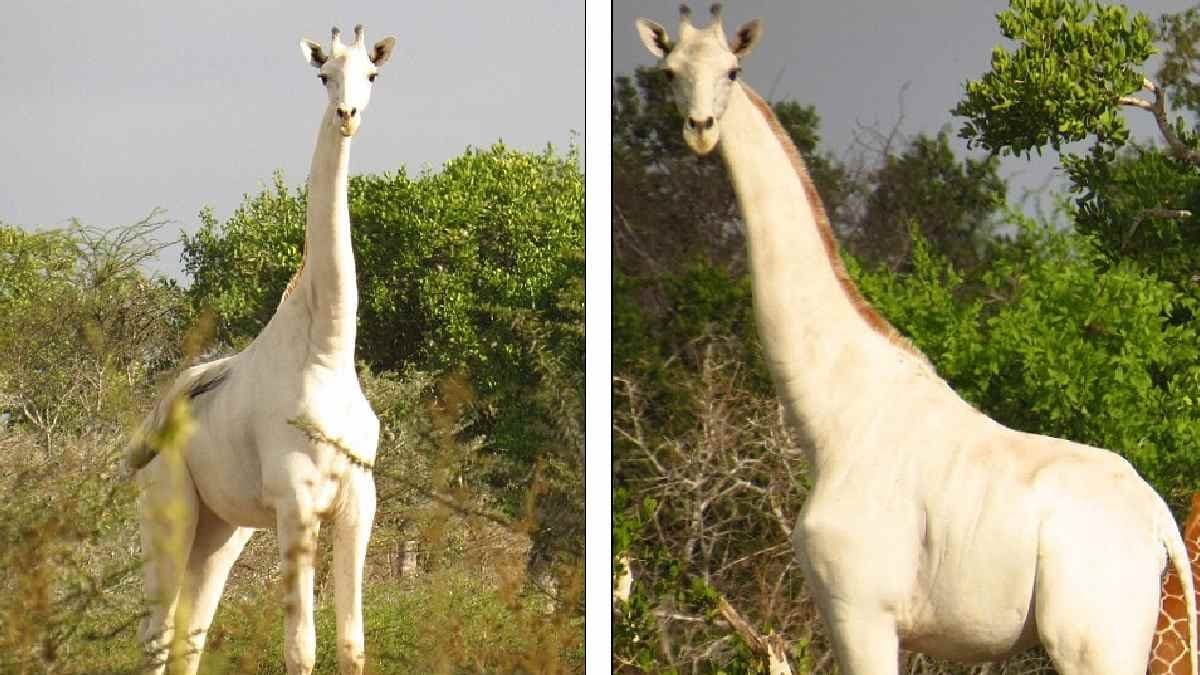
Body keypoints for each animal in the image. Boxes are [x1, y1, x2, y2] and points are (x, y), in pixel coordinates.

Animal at [128, 25, 395, 675]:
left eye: (372, 75)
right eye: (324, 75)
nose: (347, 116)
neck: (325, 353)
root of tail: (149, 423)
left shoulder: (359, 503)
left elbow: (352, 645)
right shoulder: (296, 503)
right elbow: (301, 647)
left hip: (221, 529)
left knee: (190, 635)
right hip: (168, 510)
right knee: (154, 635)